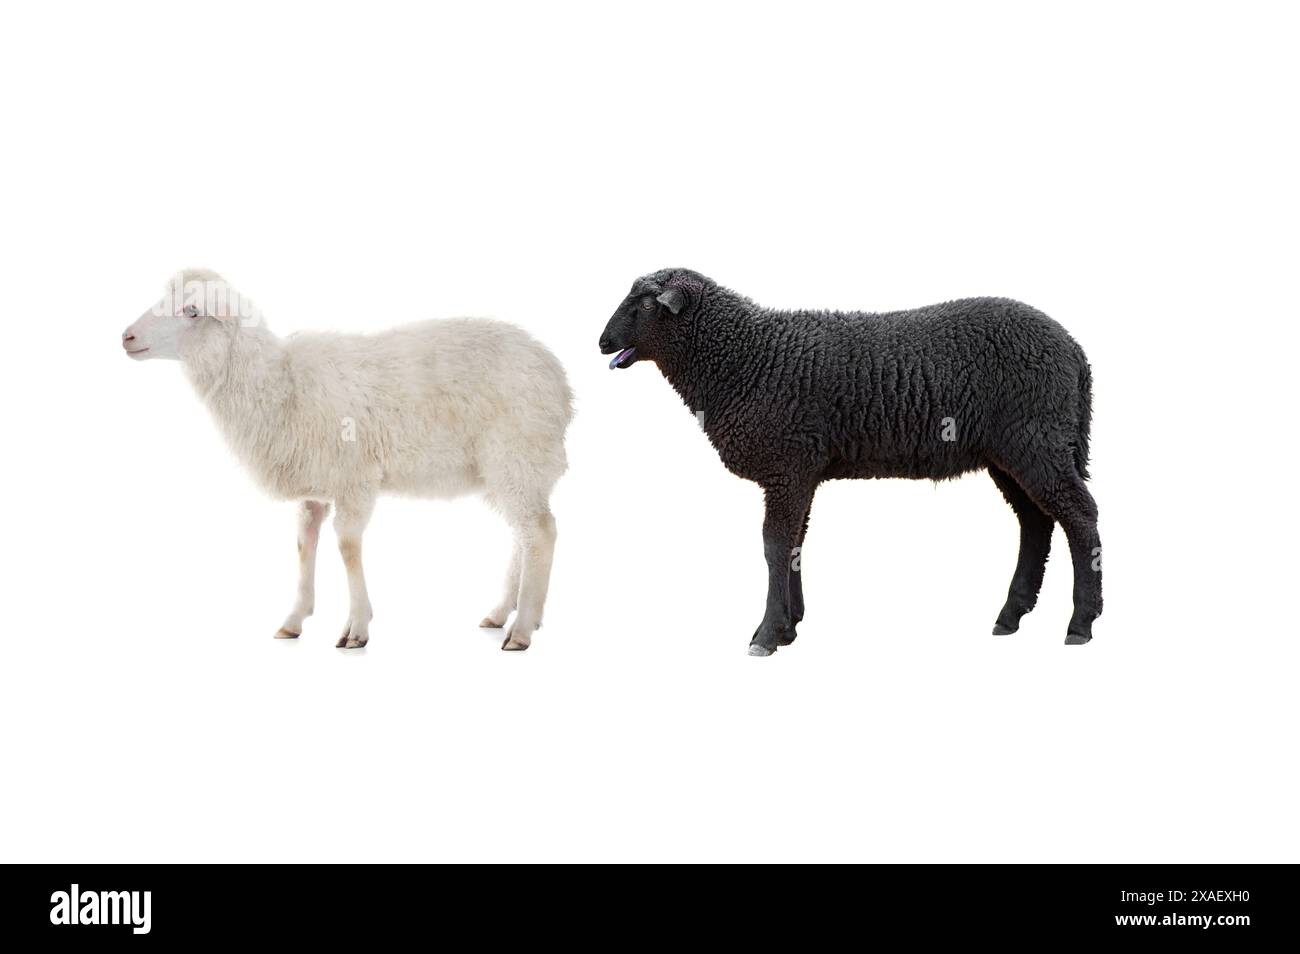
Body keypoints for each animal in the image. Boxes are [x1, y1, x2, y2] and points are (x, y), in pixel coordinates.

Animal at [123, 269, 571, 651]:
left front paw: (356, 627)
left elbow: (347, 546)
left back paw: (522, 627)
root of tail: (558, 378)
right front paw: (295, 619)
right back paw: (502, 612)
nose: (126, 336)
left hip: (517, 452)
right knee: (523, 533)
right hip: (507, 468)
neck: (282, 384)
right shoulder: (314, 485)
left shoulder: (355, 477)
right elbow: (304, 545)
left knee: (541, 533)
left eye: (192, 311)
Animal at [599, 268, 1100, 655]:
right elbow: (795, 544)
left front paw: (767, 634)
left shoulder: (787, 466)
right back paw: (1011, 615)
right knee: (1036, 522)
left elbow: (774, 545)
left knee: (1080, 516)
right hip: (1015, 451)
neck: (747, 358)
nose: (602, 343)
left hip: (1038, 440)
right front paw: (790, 625)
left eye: (647, 304)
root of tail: (1075, 350)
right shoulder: (802, 471)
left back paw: (1081, 623)